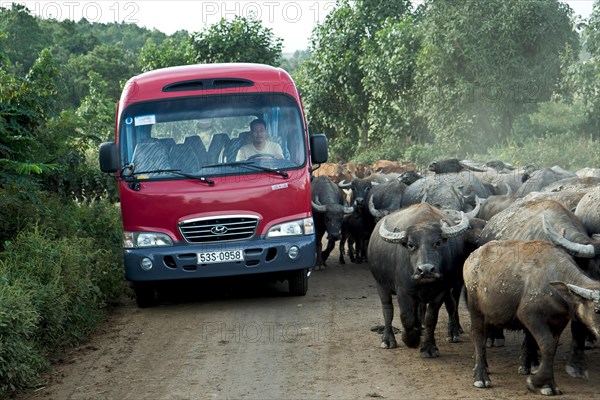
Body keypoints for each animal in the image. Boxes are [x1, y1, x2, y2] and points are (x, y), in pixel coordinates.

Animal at [368, 205, 476, 358]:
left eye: (438, 243)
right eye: (410, 245)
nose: (426, 270)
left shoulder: (442, 290)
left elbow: (431, 318)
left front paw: (429, 347)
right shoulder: (403, 290)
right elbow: (406, 316)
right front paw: (410, 339)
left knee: (449, 304)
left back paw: (450, 332)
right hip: (380, 284)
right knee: (387, 309)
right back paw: (388, 340)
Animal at [464, 239, 600, 396]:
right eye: (597, 310)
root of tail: (471, 258)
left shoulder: (559, 323)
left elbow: (552, 349)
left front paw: (548, 384)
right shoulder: (530, 316)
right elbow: (547, 345)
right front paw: (536, 381)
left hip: (490, 314)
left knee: (484, 336)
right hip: (476, 310)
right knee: (478, 336)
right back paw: (481, 377)